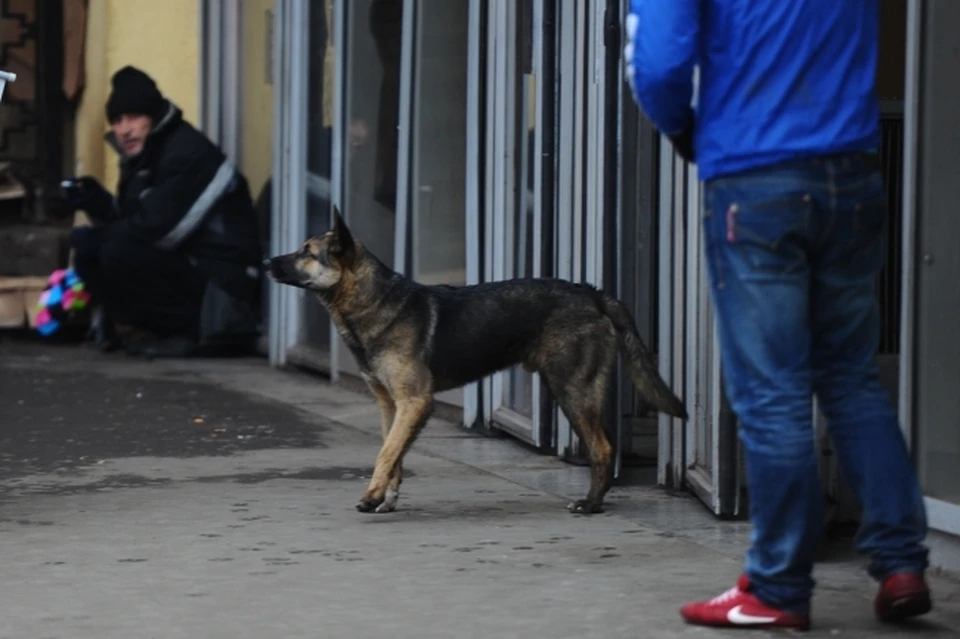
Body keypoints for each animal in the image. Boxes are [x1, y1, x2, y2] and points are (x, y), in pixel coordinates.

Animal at [266, 212, 688, 516]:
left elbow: (385, 452)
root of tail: (593, 294)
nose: (267, 261)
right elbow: (393, 452)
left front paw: (371, 495)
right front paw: (386, 497)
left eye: (307, 252)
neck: (373, 300)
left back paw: (592, 504)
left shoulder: (414, 402)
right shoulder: (391, 405)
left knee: (602, 447)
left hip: (571, 389)